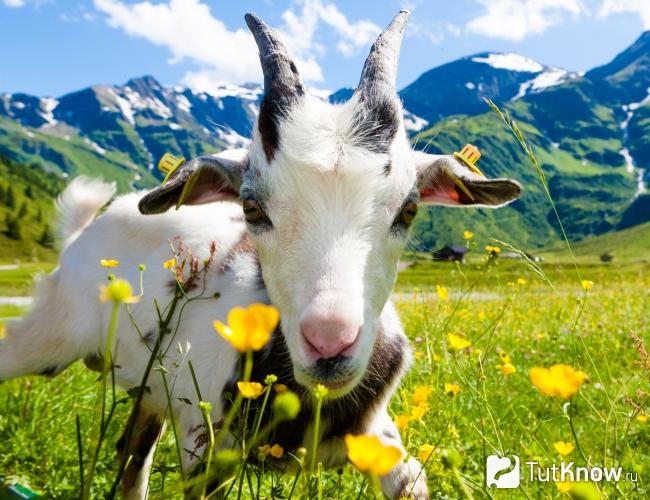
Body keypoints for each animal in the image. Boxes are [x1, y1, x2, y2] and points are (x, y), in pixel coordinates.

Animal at [0, 11, 522, 499]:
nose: (329, 344)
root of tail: (86, 229)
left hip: (150, 388)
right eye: (251, 207)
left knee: (133, 452)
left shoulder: (379, 439)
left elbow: (411, 476)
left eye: (409, 209)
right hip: (48, 333)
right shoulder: (204, 449)